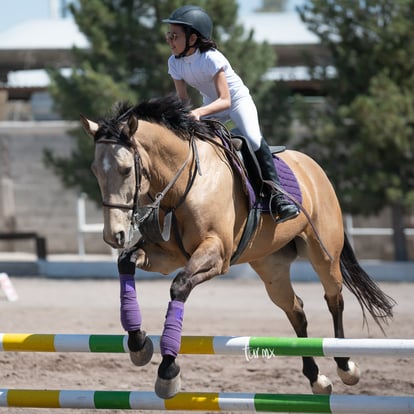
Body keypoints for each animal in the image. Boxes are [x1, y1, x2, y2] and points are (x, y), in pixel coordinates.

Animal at [81, 94, 394, 398]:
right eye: (95, 170)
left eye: (125, 170)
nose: (114, 235)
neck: (181, 184)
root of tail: (313, 167)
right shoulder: (166, 256)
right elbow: (126, 262)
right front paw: (138, 343)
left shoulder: (216, 254)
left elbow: (179, 287)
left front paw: (168, 370)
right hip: (271, 266)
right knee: (295, 309)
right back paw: (316, 378)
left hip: (323, 254)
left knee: (334, 299)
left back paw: (345, 365)